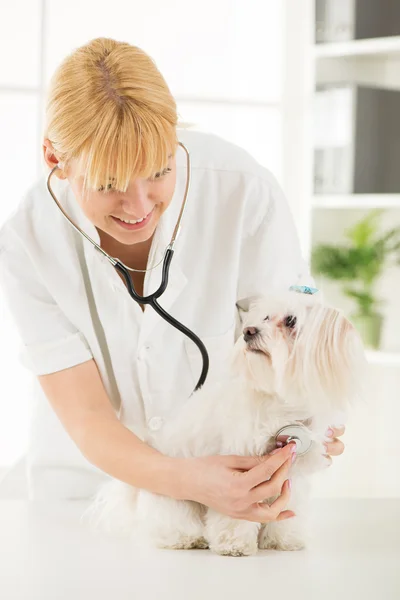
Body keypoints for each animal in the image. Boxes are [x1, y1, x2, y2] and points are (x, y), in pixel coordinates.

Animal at [83, 288, 368, 556]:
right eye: (264, 317)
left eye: (290, 321)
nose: (249, 331)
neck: (283, 402)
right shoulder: (239, 475)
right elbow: (235, 516)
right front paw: (235, 545)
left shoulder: (293, 474)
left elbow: (289, 508)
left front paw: (283, 540)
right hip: (176, 499)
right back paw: (186, 539)